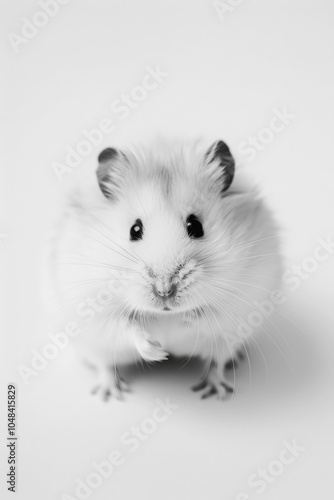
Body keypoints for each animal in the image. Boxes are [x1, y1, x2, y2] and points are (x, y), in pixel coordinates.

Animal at [45, 139, 280, 400]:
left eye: (195, 226)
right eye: (134, 230)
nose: (165, 291)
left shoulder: (245, 299)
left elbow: (210, 317)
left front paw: (180, 324)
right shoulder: (91, 308)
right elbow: (125, 328)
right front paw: (158, 351)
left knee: (217, 362)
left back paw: (216, 388)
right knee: (104, 365)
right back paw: (110, 393)